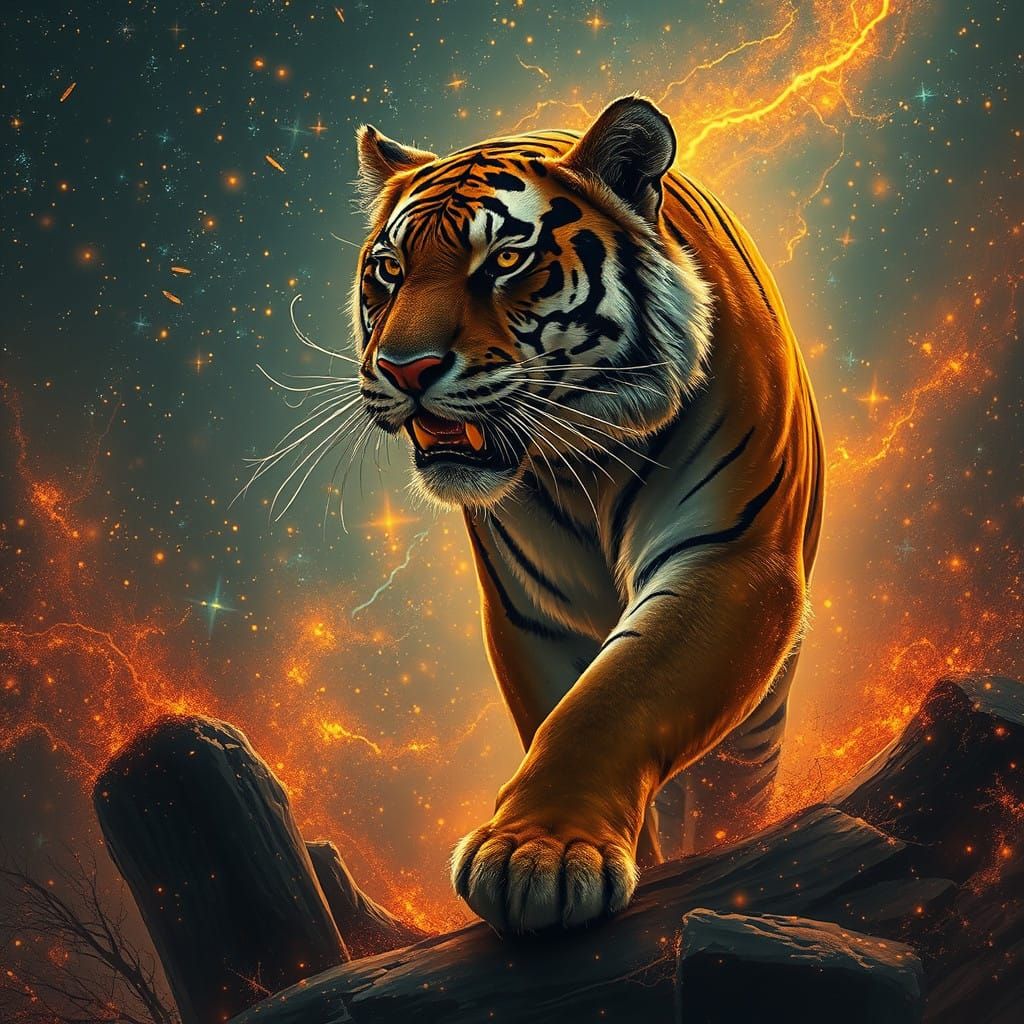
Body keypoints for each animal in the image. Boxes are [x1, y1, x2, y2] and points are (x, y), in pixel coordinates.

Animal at [351, 95, 824, 933]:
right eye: (390, 270)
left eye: (505, 261)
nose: (404, 369)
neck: (583, 458)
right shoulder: (533, 613)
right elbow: (560, 710)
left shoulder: (730, 559)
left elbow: (613, 699)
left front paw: (539, 856)